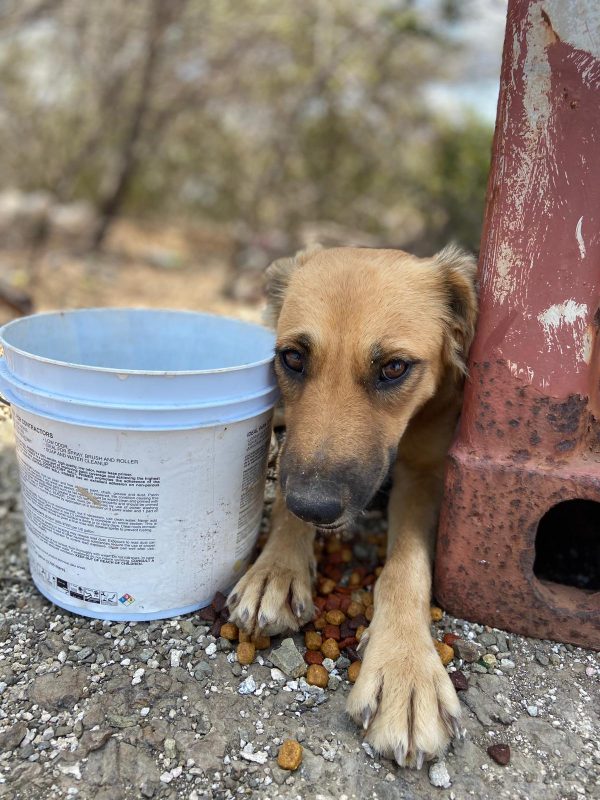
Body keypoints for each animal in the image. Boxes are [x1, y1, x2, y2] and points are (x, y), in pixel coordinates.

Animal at [229, 245, 478, 768]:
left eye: (394, 368)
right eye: (293, 357)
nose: (315, 507)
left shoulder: (426, 473)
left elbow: (405, 566)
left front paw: (405, 665)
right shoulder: (296, 448)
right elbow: (284, 494)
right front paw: (276, 568)